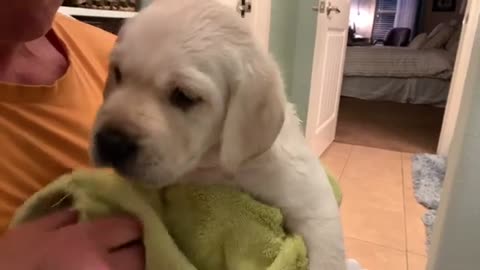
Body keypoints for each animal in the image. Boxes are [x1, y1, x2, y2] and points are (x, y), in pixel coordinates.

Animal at [91, 1, 344, 268]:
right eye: (117, 73)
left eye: (184, 96)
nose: (110, 142)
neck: (215, 166)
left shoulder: (313, 200)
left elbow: (328, 254)